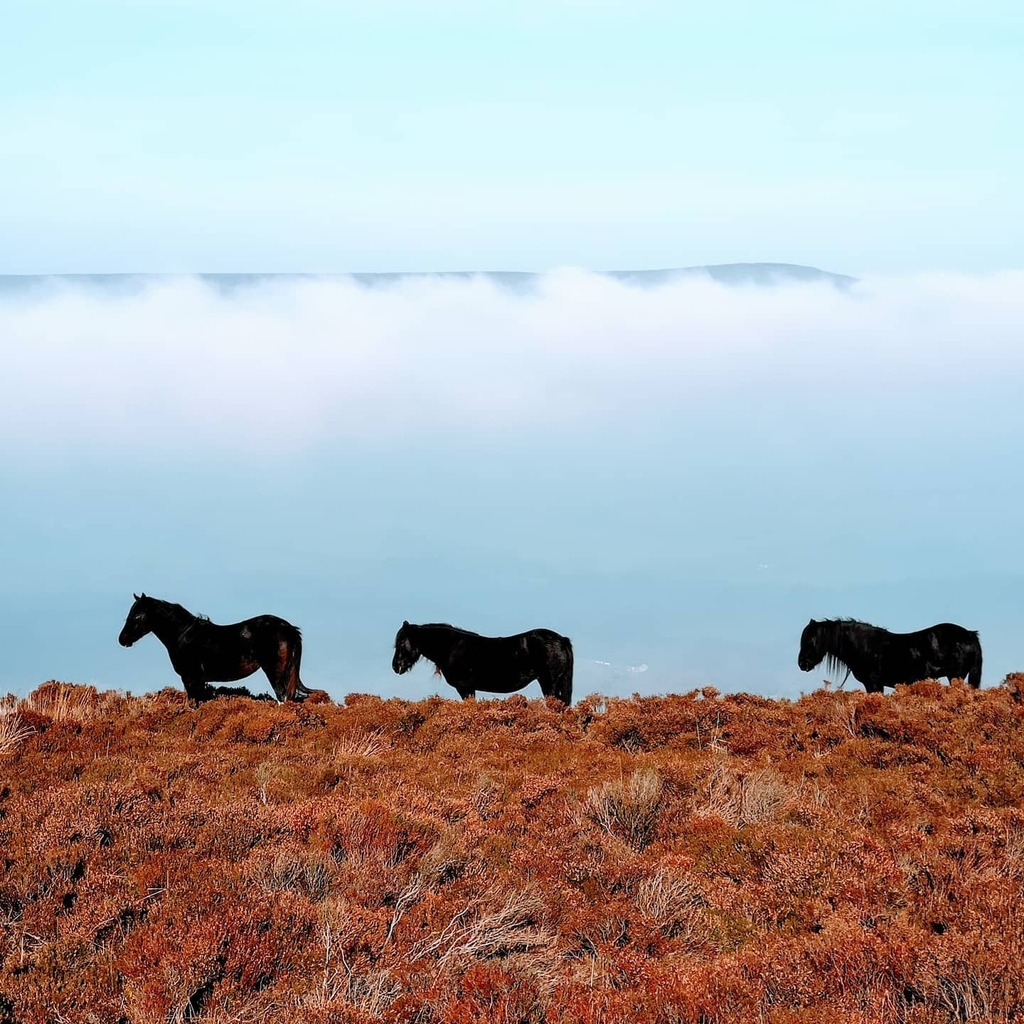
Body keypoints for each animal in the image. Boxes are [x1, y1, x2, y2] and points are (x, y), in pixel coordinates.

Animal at [118, 593, 312, 703]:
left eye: (138, 616)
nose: (122, 639)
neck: (183, 634)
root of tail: (288, 628)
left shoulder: (190, 679)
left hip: (274, 672)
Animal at [392, 621, 574, 704]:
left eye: (401, 643)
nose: (396, 666)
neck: (452, 648)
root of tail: (562, 640)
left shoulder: (465, 688)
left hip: (549, 683)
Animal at [797, 618, 982, 693]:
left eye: (810, 640)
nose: (802, 664)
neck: (864, 647)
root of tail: (969, 634)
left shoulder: (874, 684)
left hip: (955, 676)